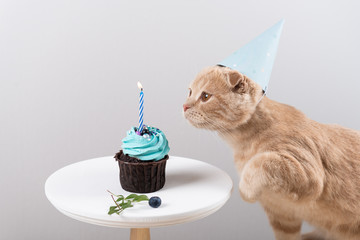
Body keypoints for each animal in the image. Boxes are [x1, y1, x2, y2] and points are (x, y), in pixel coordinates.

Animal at [183, 65, 360, 240]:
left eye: (205, 96)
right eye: (190, 92)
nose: (184, 106)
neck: (243, 145)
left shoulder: (308, 172)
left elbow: (263, 161)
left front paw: (247, 190)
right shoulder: (282, 216)